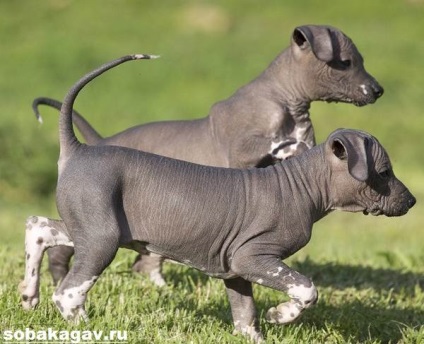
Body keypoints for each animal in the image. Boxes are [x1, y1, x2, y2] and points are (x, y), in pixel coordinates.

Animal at [20, 55, 414, 342]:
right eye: (385, 172)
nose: (410, 202)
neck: (299, 184)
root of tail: (78, 149)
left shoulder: (236, 269)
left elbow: (245, 316)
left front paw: (257, 331)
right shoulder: (254, 256)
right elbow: (306, 289)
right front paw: (280, 315)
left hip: (89, 227)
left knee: (38, 227)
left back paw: (28, 295)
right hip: (102, 237)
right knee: (68, 292)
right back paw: (83, 326)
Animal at [29, 25, 382, 286]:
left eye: (361, 60)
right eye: (346, 62)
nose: (377, 90)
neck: (286, 102)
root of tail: (95, 143)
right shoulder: (241, 153)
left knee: (135, 259)